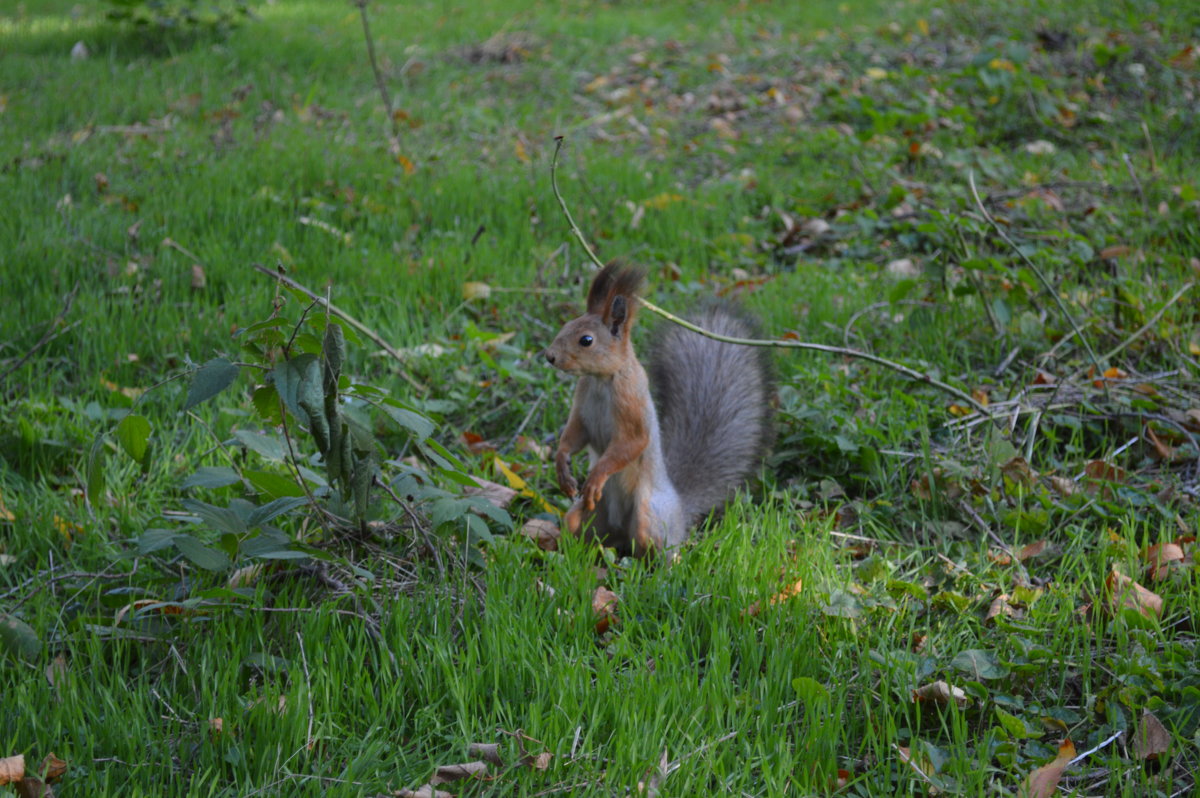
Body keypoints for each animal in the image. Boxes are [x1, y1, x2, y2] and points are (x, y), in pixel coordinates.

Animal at [542, 262, 772, 554]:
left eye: (586, 340)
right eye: (567, 324)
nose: (550, 356)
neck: (601, 380)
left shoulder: (632, 403)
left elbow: (633, 442)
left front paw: (596, 477)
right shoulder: (581, 406)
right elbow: (574, 436)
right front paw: (562, 467)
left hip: (649, 516)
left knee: (654, 545)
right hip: (585, 515)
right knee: (583, 530)